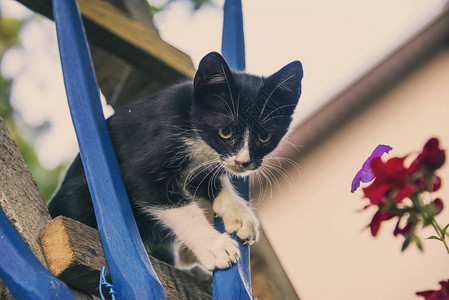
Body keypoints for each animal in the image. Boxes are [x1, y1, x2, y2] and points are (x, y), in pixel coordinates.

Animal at [48, 52, 300, 270]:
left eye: (264, 137)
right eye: (225, 132)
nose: (243, 163)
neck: (191, 123)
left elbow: (211, 178)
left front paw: (240, 214)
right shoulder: (143, 165)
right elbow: (180, 208)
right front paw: (215, 246)